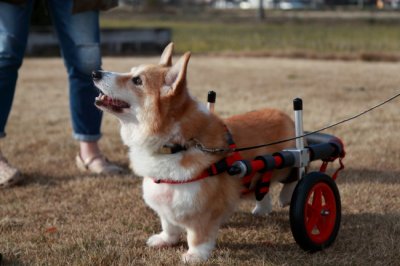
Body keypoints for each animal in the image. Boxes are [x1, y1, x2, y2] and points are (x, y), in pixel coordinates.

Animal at [93, 42, 296, 262]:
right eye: (131, 72)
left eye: (137, 80)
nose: (95, 73)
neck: (175, 145)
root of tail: (284, 115)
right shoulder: (164, 202)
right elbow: (168, 225)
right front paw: (165, 240)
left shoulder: (203, 210)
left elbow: (197, 235)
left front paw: (195, 255)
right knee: (263, 187)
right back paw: (261, 209)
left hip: (284, 164)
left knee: (299, 169)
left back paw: (287, 195)